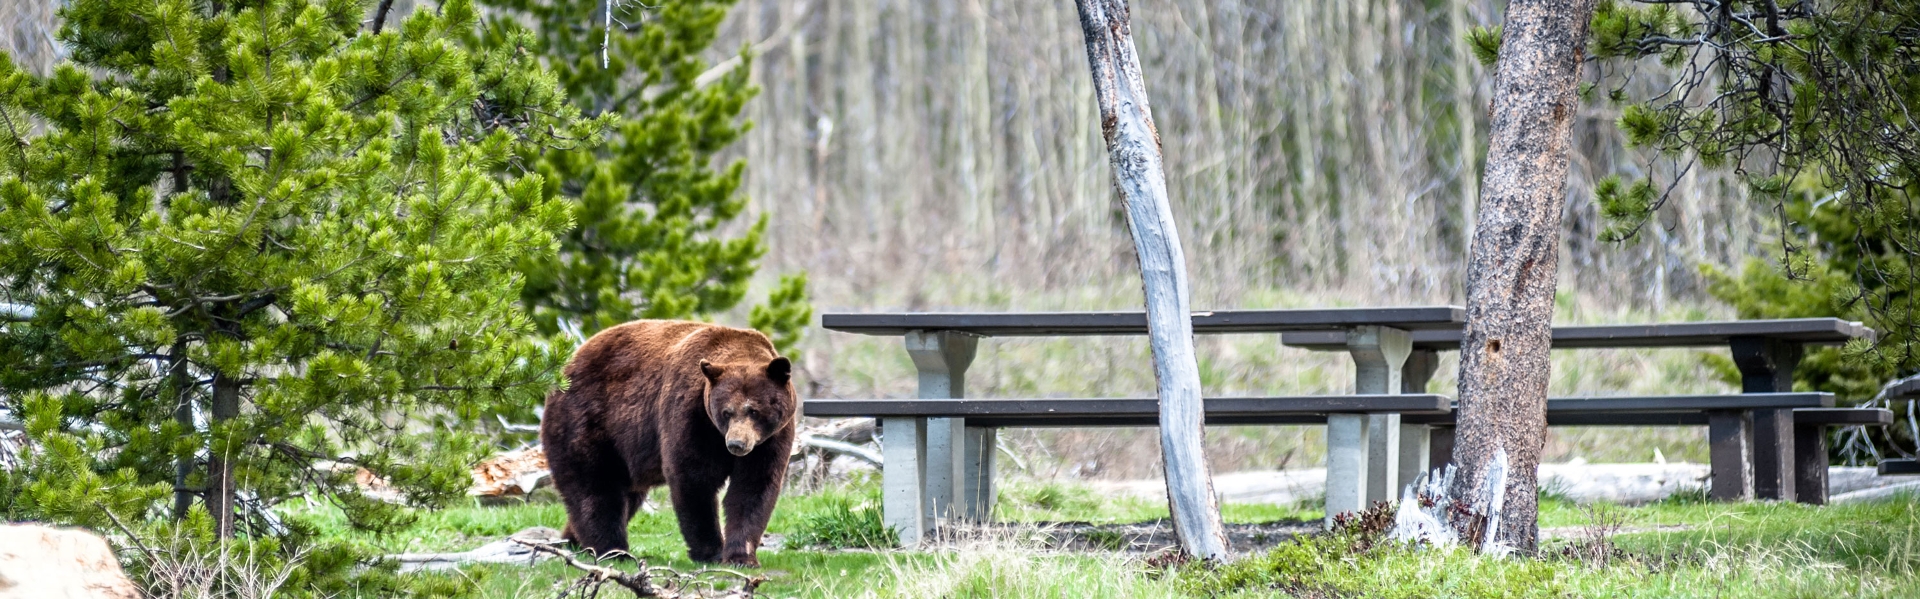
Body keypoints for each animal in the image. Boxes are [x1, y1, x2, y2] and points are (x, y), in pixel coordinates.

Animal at [541, 318, 794, 564]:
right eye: (726, 412)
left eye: (753, 410)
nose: (736, 445)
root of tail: (567, 365)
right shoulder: (691, 415)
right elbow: (694, 478)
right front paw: (711, 551)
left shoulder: (770, 439)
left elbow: (753, 487)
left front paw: (741, 556)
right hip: (588, 420)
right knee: (595, 486)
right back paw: (612, 550)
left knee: (625, 494)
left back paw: (573, 539)